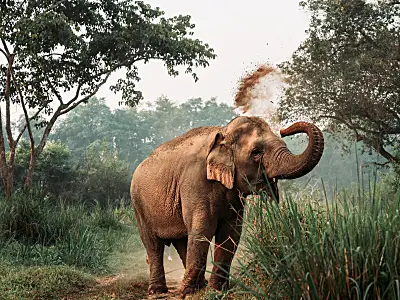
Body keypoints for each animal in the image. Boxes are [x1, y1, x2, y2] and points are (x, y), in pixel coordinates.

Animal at [131, 116, 324, 296]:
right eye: (256, 152)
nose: (284, 131)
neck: (223, 133)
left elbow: (231, 233)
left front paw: (217, 289)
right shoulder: (195, 182)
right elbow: (203, 229)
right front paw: (187, 293)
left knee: (182, 241)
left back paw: (198, 286)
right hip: (138, 205)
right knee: (153, 245)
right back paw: (158, 291)